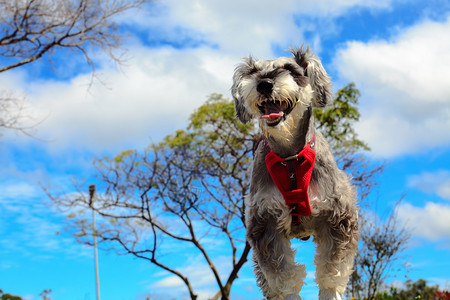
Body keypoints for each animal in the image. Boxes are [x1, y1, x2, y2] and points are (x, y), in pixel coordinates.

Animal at [232, 45, 358, 298]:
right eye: (252, 72)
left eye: (290, 69)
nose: (264, 84)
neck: (289, 158)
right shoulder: (265, 224)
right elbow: (283, 277)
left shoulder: (338, 217)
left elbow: (332, 272)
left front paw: (330, 292)